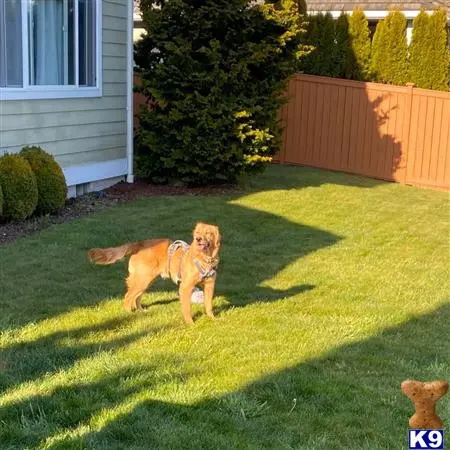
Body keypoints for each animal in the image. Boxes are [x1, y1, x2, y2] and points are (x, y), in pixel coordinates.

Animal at [87, 222, 221, 324]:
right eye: (197, 233)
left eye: (208, 233)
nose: (198, 239)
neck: (204, 258)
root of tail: (139, 244)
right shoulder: (185, 287)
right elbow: (187, 309)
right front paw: (191, 324)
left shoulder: (210, 285)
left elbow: (208, 305)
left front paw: (213, 319)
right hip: (143, 280)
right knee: (128, 297)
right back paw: (130, 314)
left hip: (146, 280)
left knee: (136, 298)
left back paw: (141, 312)